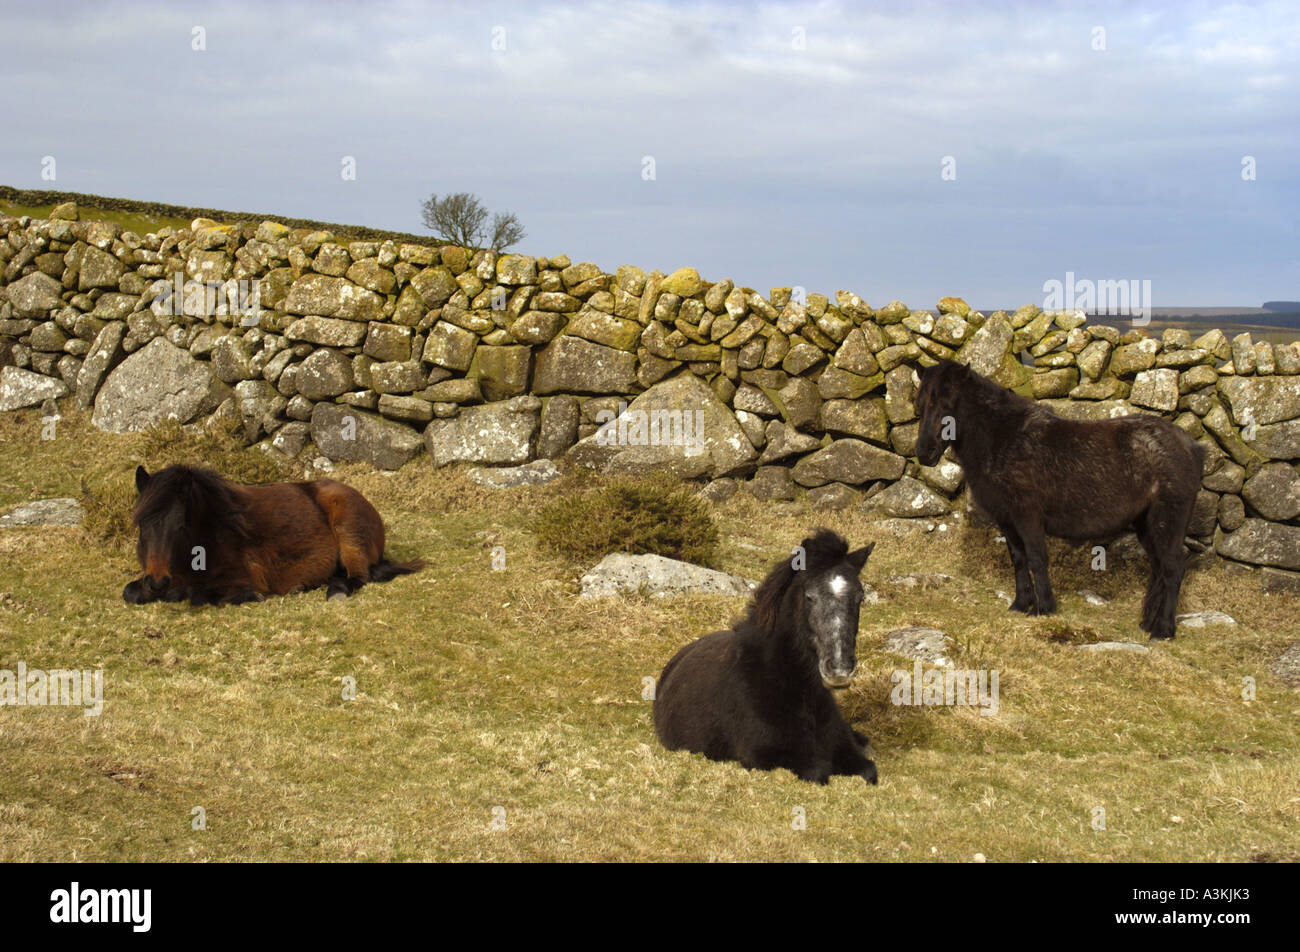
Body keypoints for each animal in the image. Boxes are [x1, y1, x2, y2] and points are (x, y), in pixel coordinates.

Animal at [122, 464, 422, 606]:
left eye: (180, 525)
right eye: (142, 524)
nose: (158, 581)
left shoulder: (240, 579)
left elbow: (199, 594)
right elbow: (130, 592)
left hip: (349, 535)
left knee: (359, 577)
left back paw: (335, 590)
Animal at [653, 530, 878, 786]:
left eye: (860, 597)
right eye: (809, 597)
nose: (839, 670)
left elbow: (868, 770)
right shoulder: (765, 756)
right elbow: (817, 771)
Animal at [914, 359, 1204, 640]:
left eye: (948, 404)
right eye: (919, 405)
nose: (924, 453)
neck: (1003, 437)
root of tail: (1191, 445)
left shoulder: (1028, 516)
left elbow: (1037, 558)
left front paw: (1043, 608)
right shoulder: (1007, 520)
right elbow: (1019, 559)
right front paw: (1021, 604)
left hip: (1166, 523)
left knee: (1173, 569)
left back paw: (1163, 630)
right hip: (1147, 525)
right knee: (1159, 569)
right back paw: (1148, 623)